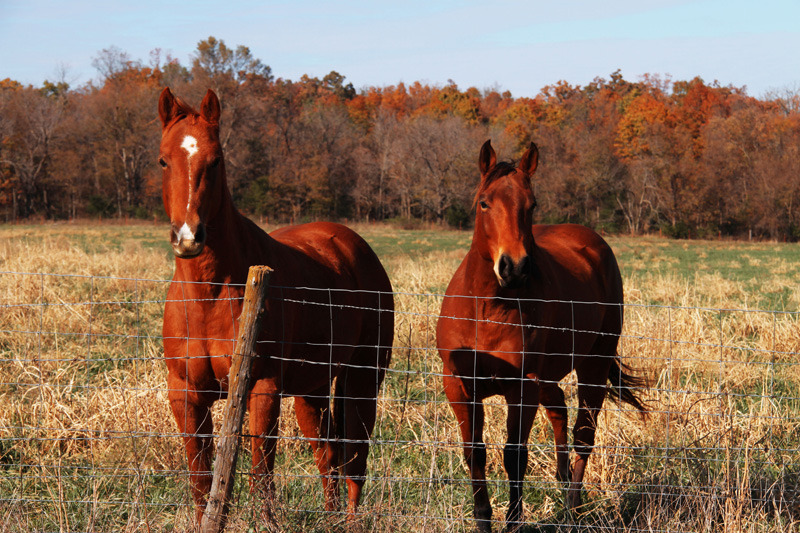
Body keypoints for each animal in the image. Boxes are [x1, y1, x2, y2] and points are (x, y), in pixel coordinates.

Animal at [157, 87, 394, 524]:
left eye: (216, 160)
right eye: (164, 160)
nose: (188, 236)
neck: (209, 295)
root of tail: (352, 244)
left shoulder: (261, 390)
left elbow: (261, 476)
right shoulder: (185, 395)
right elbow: (200, 479)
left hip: (361, 379)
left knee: (355, 458)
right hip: (312, 389)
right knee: (328, 454)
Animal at [434, 139, 648, 528]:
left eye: (531, 205)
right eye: (484, 201)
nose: (514, 267)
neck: (488, 307)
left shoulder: (523, 388)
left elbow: (514, 455)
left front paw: (514, 521)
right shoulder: (458, 385)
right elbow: (474, 453)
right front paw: (483, 519)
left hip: (593, 366)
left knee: (583, 435)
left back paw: (572, 508)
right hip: (549, 378)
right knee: (560, 412)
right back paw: (563, 486)